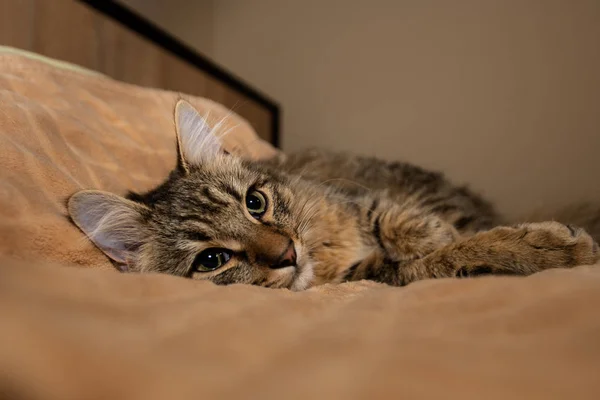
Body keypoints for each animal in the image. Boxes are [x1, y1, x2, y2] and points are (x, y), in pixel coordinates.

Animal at [67, 100, 600, 290]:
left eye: (255, 203)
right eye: (212, 260)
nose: (287, 253)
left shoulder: (359, 201)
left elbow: (401, 222)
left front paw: (435, 233)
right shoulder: (373, 275)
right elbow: (446, 258)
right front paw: (550, 248)